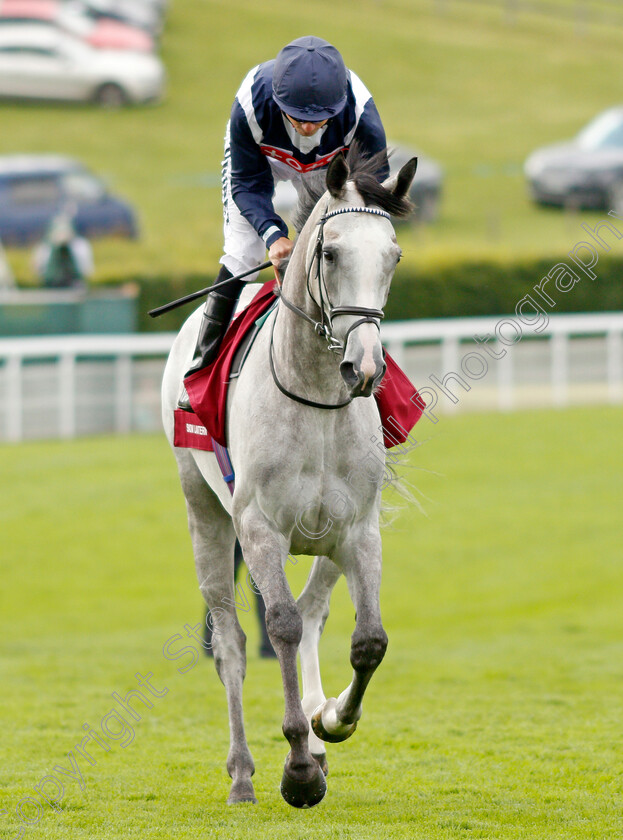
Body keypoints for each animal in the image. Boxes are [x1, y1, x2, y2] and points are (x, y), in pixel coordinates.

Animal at [161, 149, 416, 808]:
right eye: (330, 254)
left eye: (393, 256)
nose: (364, 367)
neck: (317, 397)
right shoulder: (260, 529)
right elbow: (278, 626)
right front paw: (298, 768)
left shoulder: (359, 528)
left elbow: (368, 640)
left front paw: (333, 722)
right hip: (205, 513)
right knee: (232, 644)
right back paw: (243, 773)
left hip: (325, 540)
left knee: (313, 610)